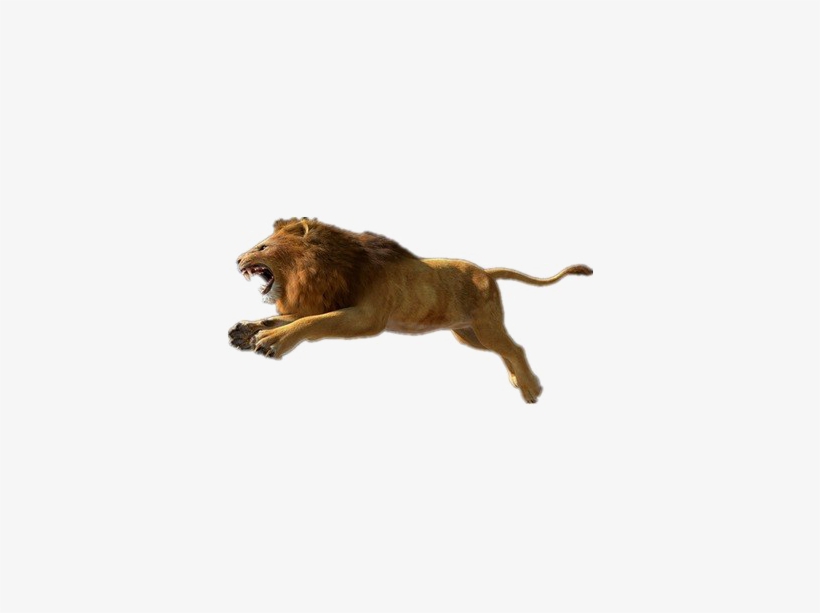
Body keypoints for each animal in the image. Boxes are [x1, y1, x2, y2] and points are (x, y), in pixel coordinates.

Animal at [229, 217, 592, 403]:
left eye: (262, 247)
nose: (237, 259)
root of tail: (487, 271)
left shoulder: (366, 317)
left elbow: (313, 323)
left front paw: (272, 341)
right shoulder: (334, 303)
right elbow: (289, 316)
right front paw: (245, 331)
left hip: (486, 326)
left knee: (515, 347)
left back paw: (531, 389)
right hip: (469, 334)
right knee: (505, 350)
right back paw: (518, 381)